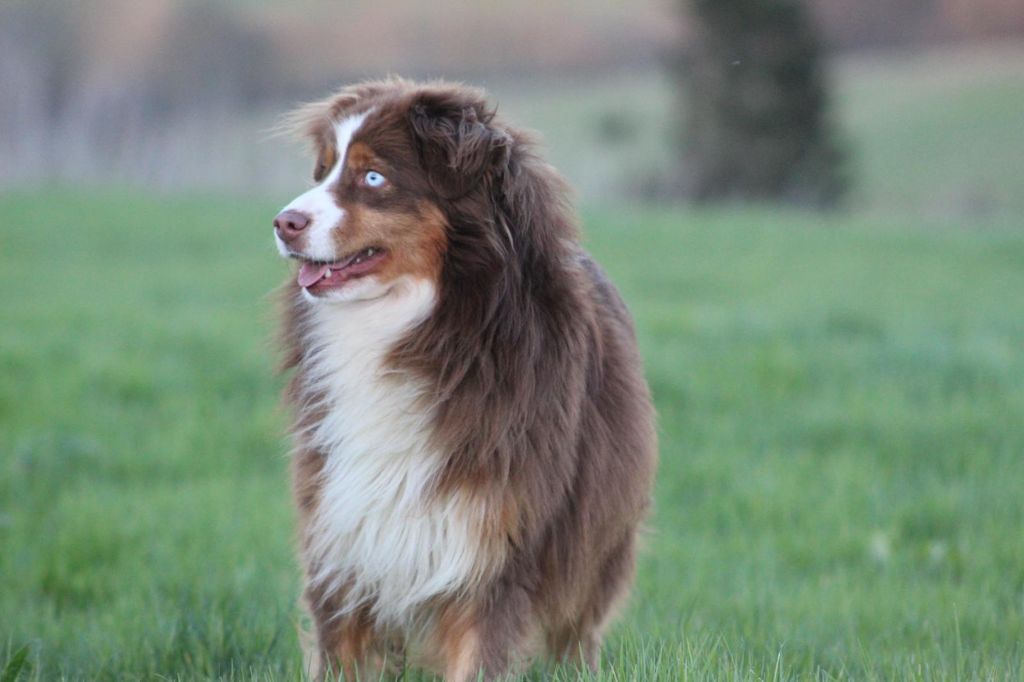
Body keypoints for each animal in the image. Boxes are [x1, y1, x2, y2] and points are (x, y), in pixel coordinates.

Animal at [272, 76, 655, 675]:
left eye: (373, 177)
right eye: (324, 171)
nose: (284, 223)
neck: (413, 328)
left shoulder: (491, 547)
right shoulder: (342, 538)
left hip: (591, 537)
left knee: (576, 627)